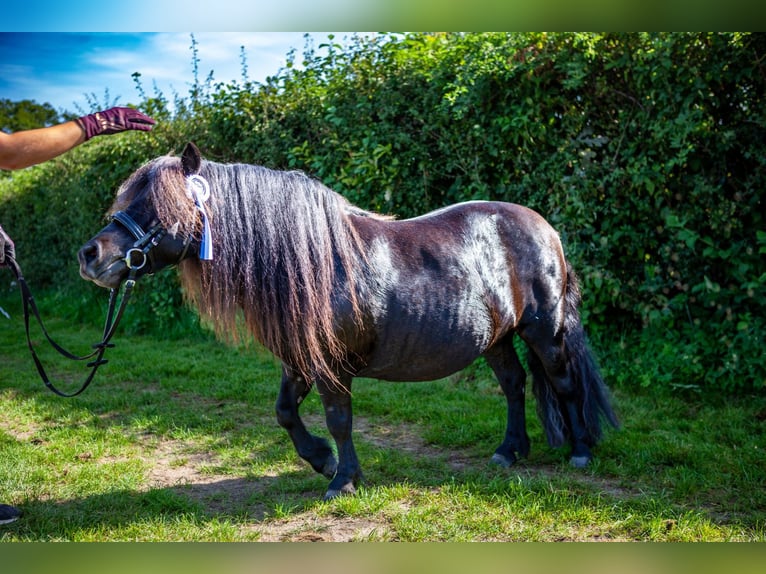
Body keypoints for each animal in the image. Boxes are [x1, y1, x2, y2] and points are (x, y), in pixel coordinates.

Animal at [78, 143, 620, 500]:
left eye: (157, 205)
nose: (90, 256)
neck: (312, 262)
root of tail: (546, 229)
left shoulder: (331, 367)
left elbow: (339, 419)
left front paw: (342, 480)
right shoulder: (298, 361)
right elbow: (285, 412)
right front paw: (322, 461)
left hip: (544, 330)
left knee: (563, 382)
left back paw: (579, 451)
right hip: (495, 339)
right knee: (514, 384)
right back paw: (510, 450)